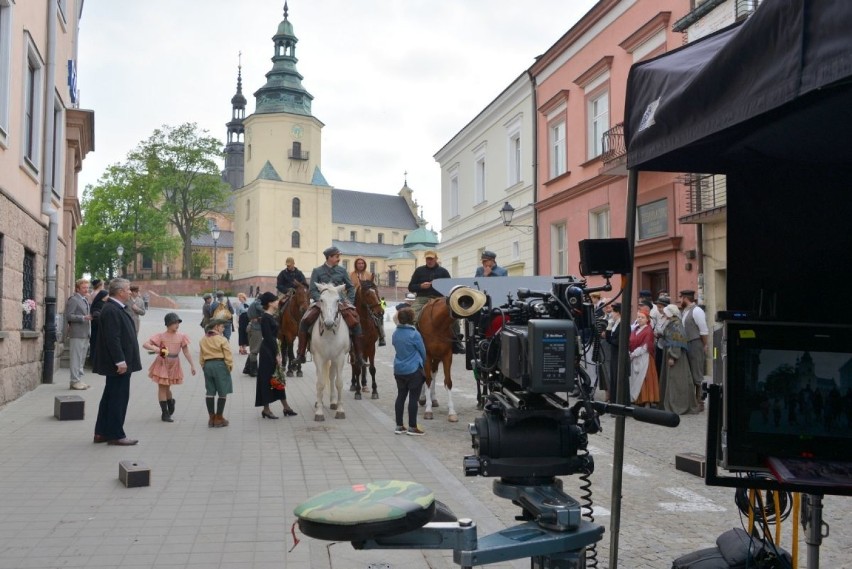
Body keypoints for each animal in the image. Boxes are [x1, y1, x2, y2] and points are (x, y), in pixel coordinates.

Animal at [312, 282, 348, 420]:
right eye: (321, 300)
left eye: (338, 300)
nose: (328, 323)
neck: (329, 334)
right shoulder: (319, 357)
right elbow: (320, 383)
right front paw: (319, 412)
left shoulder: (340, 357)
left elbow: (339, 383)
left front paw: (340, 410)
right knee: (320, 376)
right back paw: (319, 402)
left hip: (333, 359)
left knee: (332, 377)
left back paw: (333, 402)